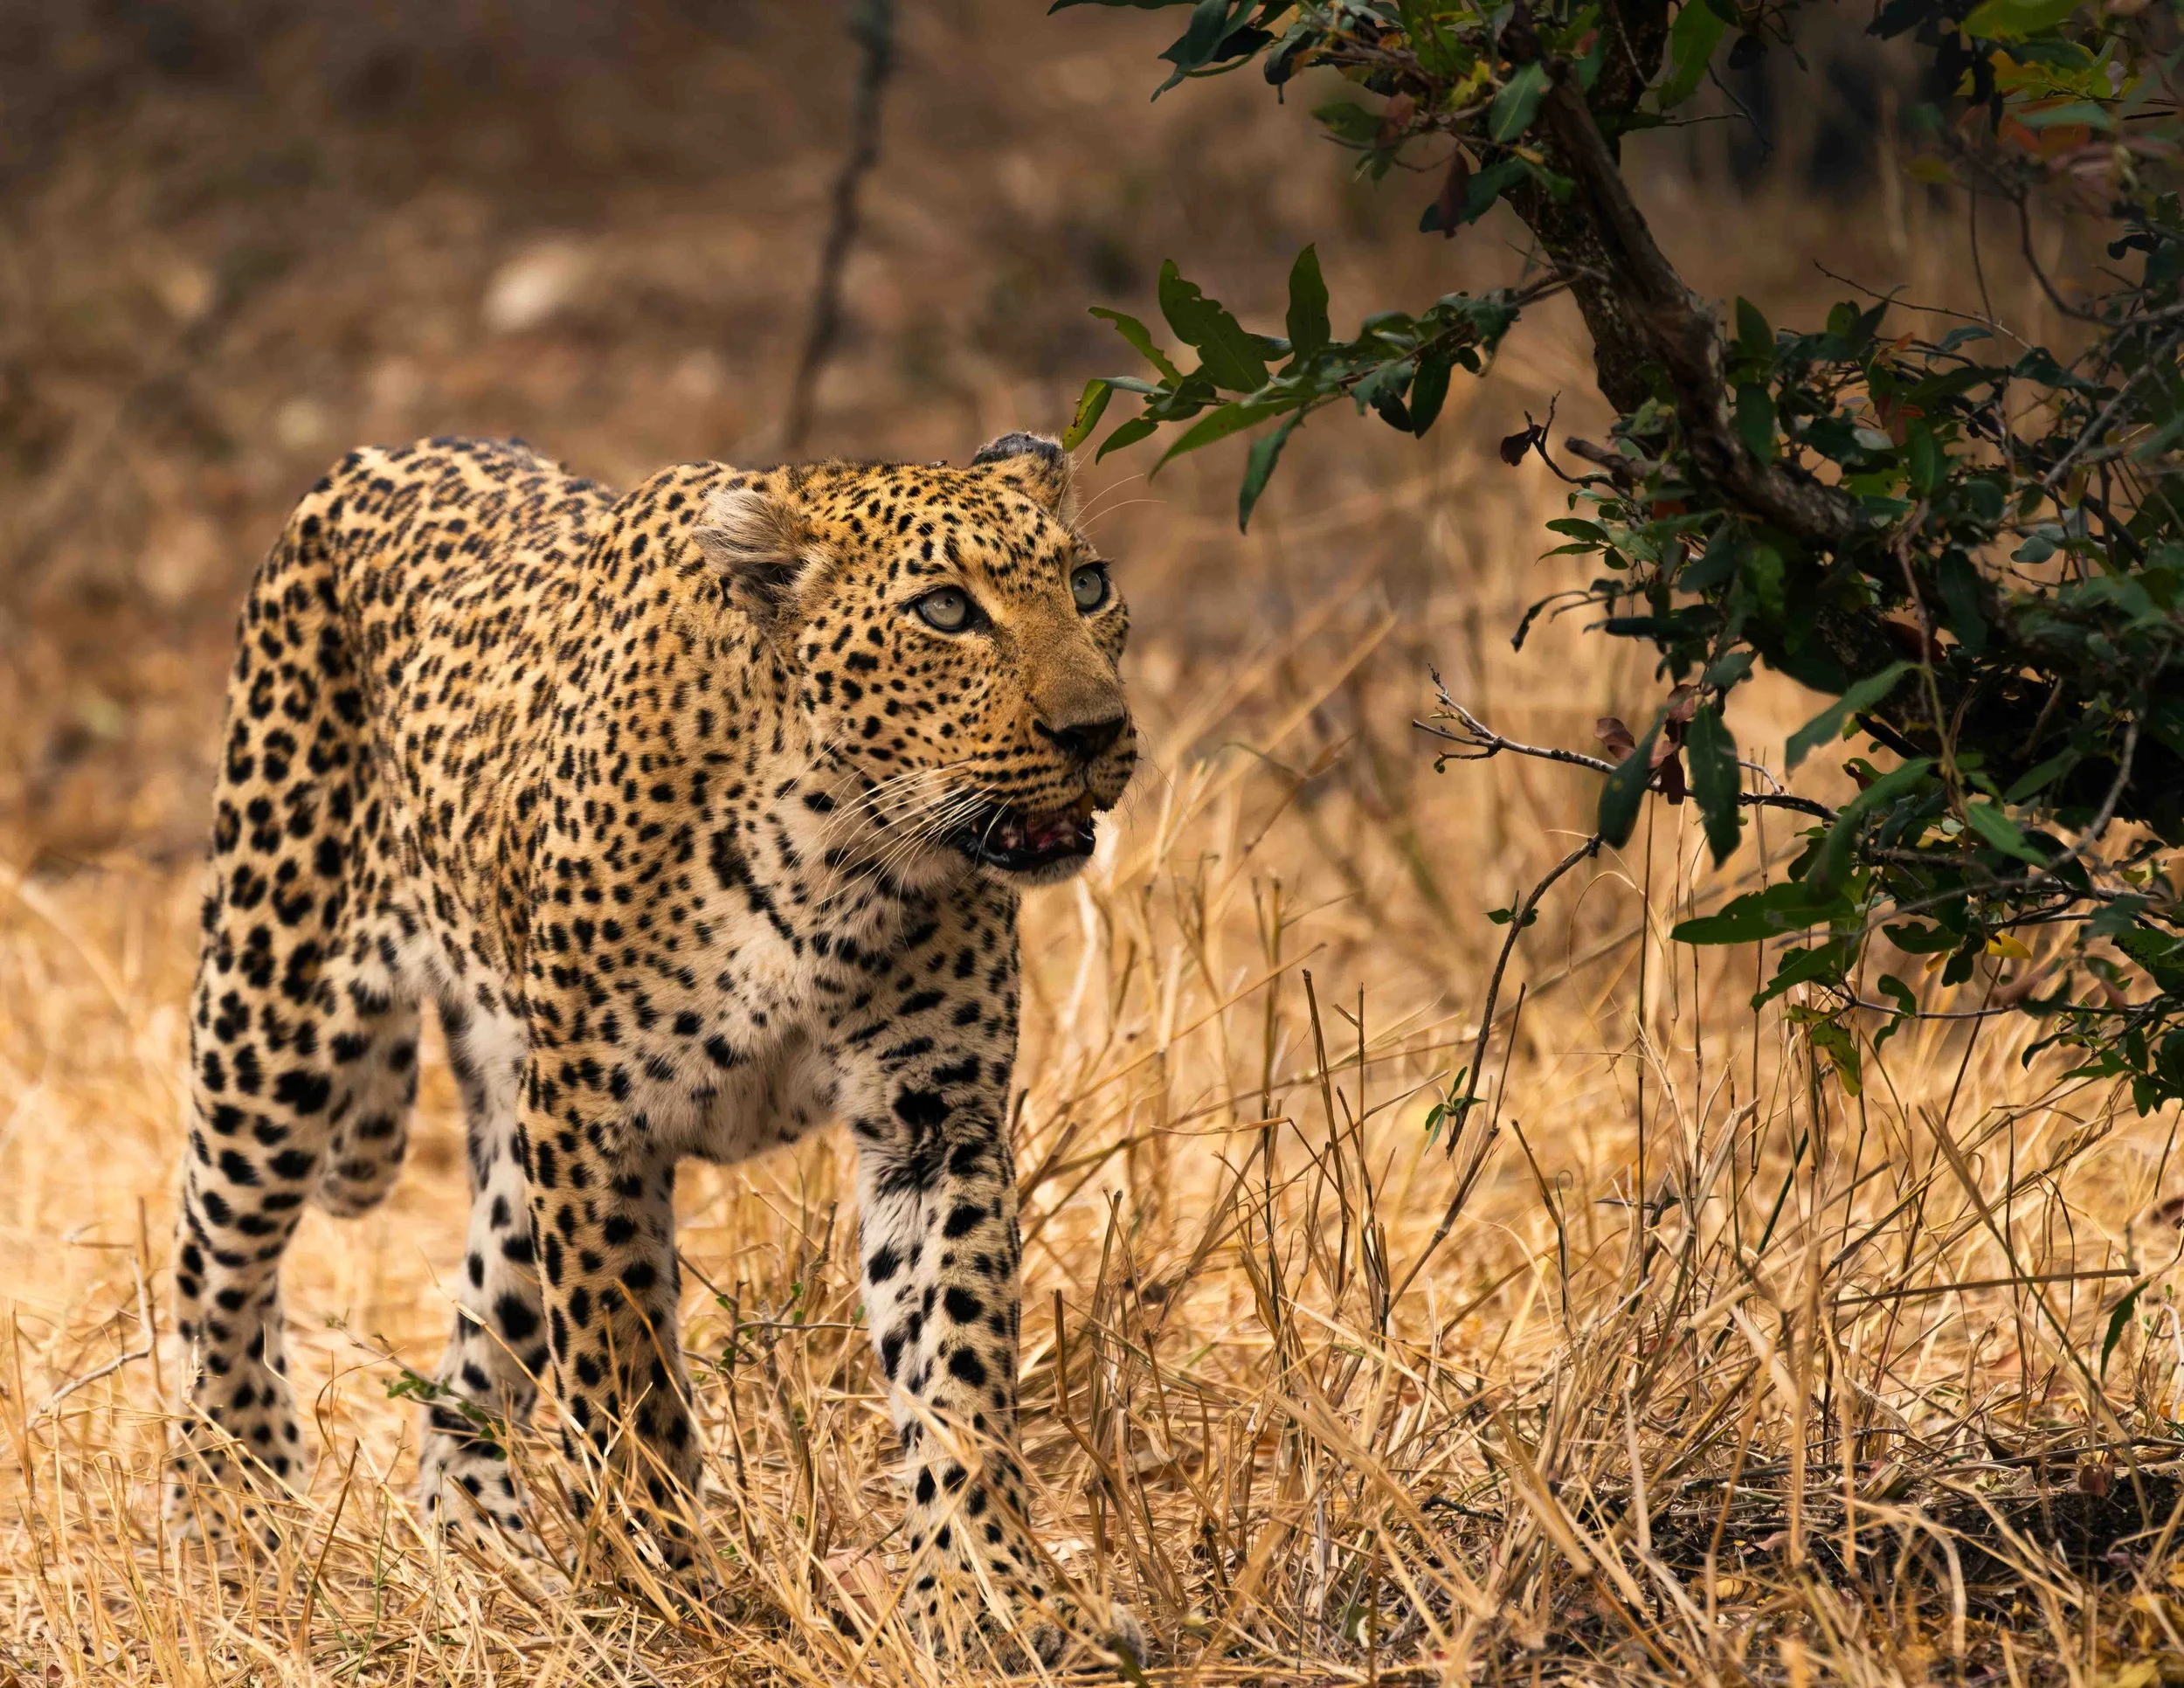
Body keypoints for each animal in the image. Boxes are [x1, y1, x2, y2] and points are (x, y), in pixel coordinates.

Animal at [166, 430, 1142, 1664]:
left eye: (1087, 585)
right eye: (944, 610)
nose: (1095, 732)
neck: (836, 856)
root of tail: (374, 456)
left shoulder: (935, 1123)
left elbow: (958, 1369)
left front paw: (995, 1598)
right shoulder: (596, 1122)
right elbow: (623, 1374)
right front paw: (665, 1592)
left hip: (506, 1124)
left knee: (469, 1369)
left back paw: (494, 1557)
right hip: (273, 1016)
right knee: (217, 1267)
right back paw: (229, 1515)